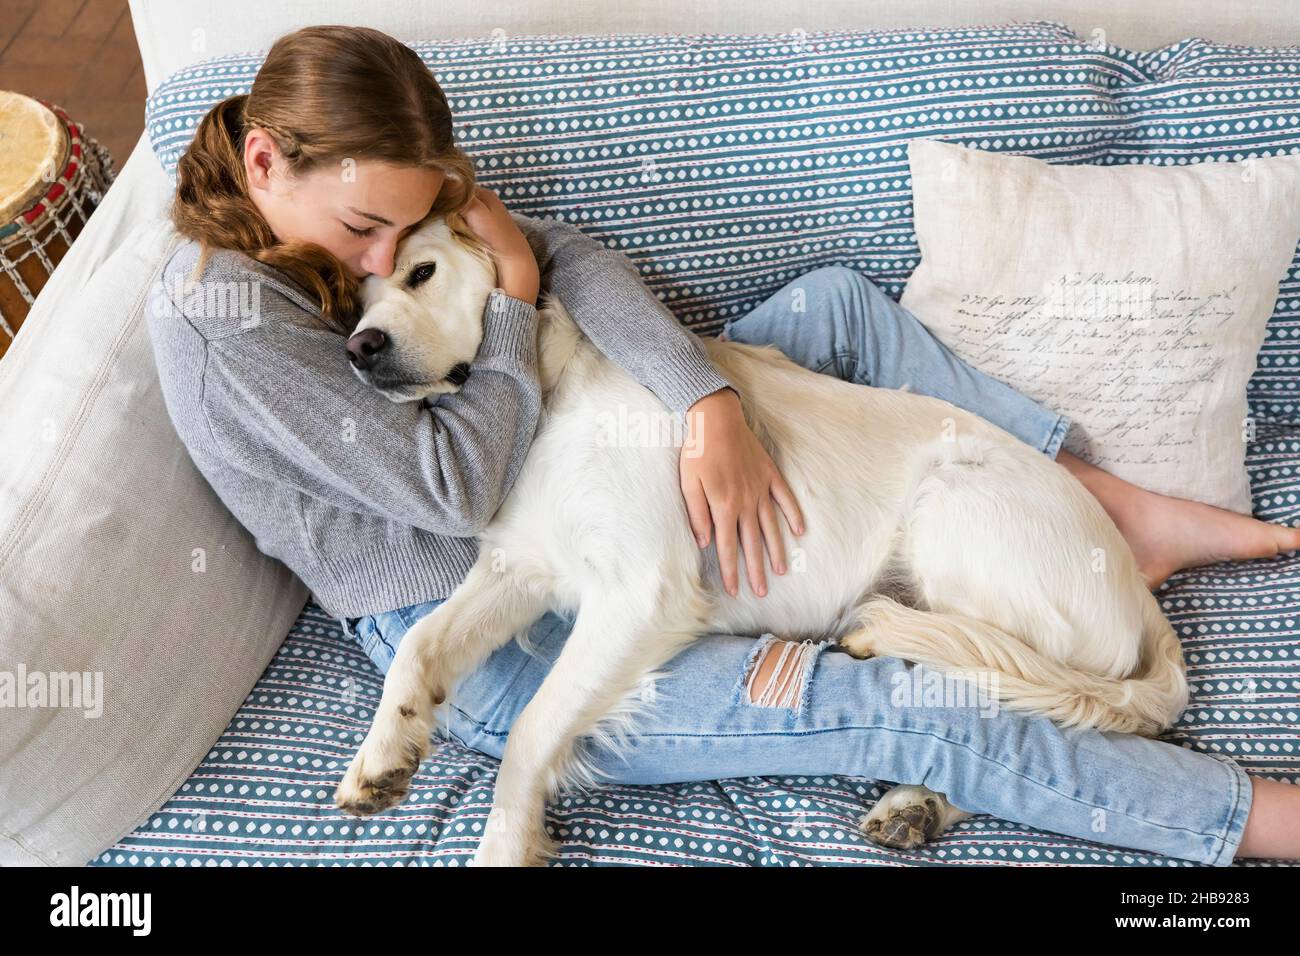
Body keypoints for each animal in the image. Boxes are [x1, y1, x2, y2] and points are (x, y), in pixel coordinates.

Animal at [335, 217, 1190, 868]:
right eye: (355, 305)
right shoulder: (524, 565)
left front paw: (502, 845)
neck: (549, 389)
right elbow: (421, 642)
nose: (359, 349)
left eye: (421, 272)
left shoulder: (642, 591)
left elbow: (530, 730)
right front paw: (384, 750)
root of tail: (1140, 595)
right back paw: (916, 806)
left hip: (952, 508)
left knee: (1019, 683)